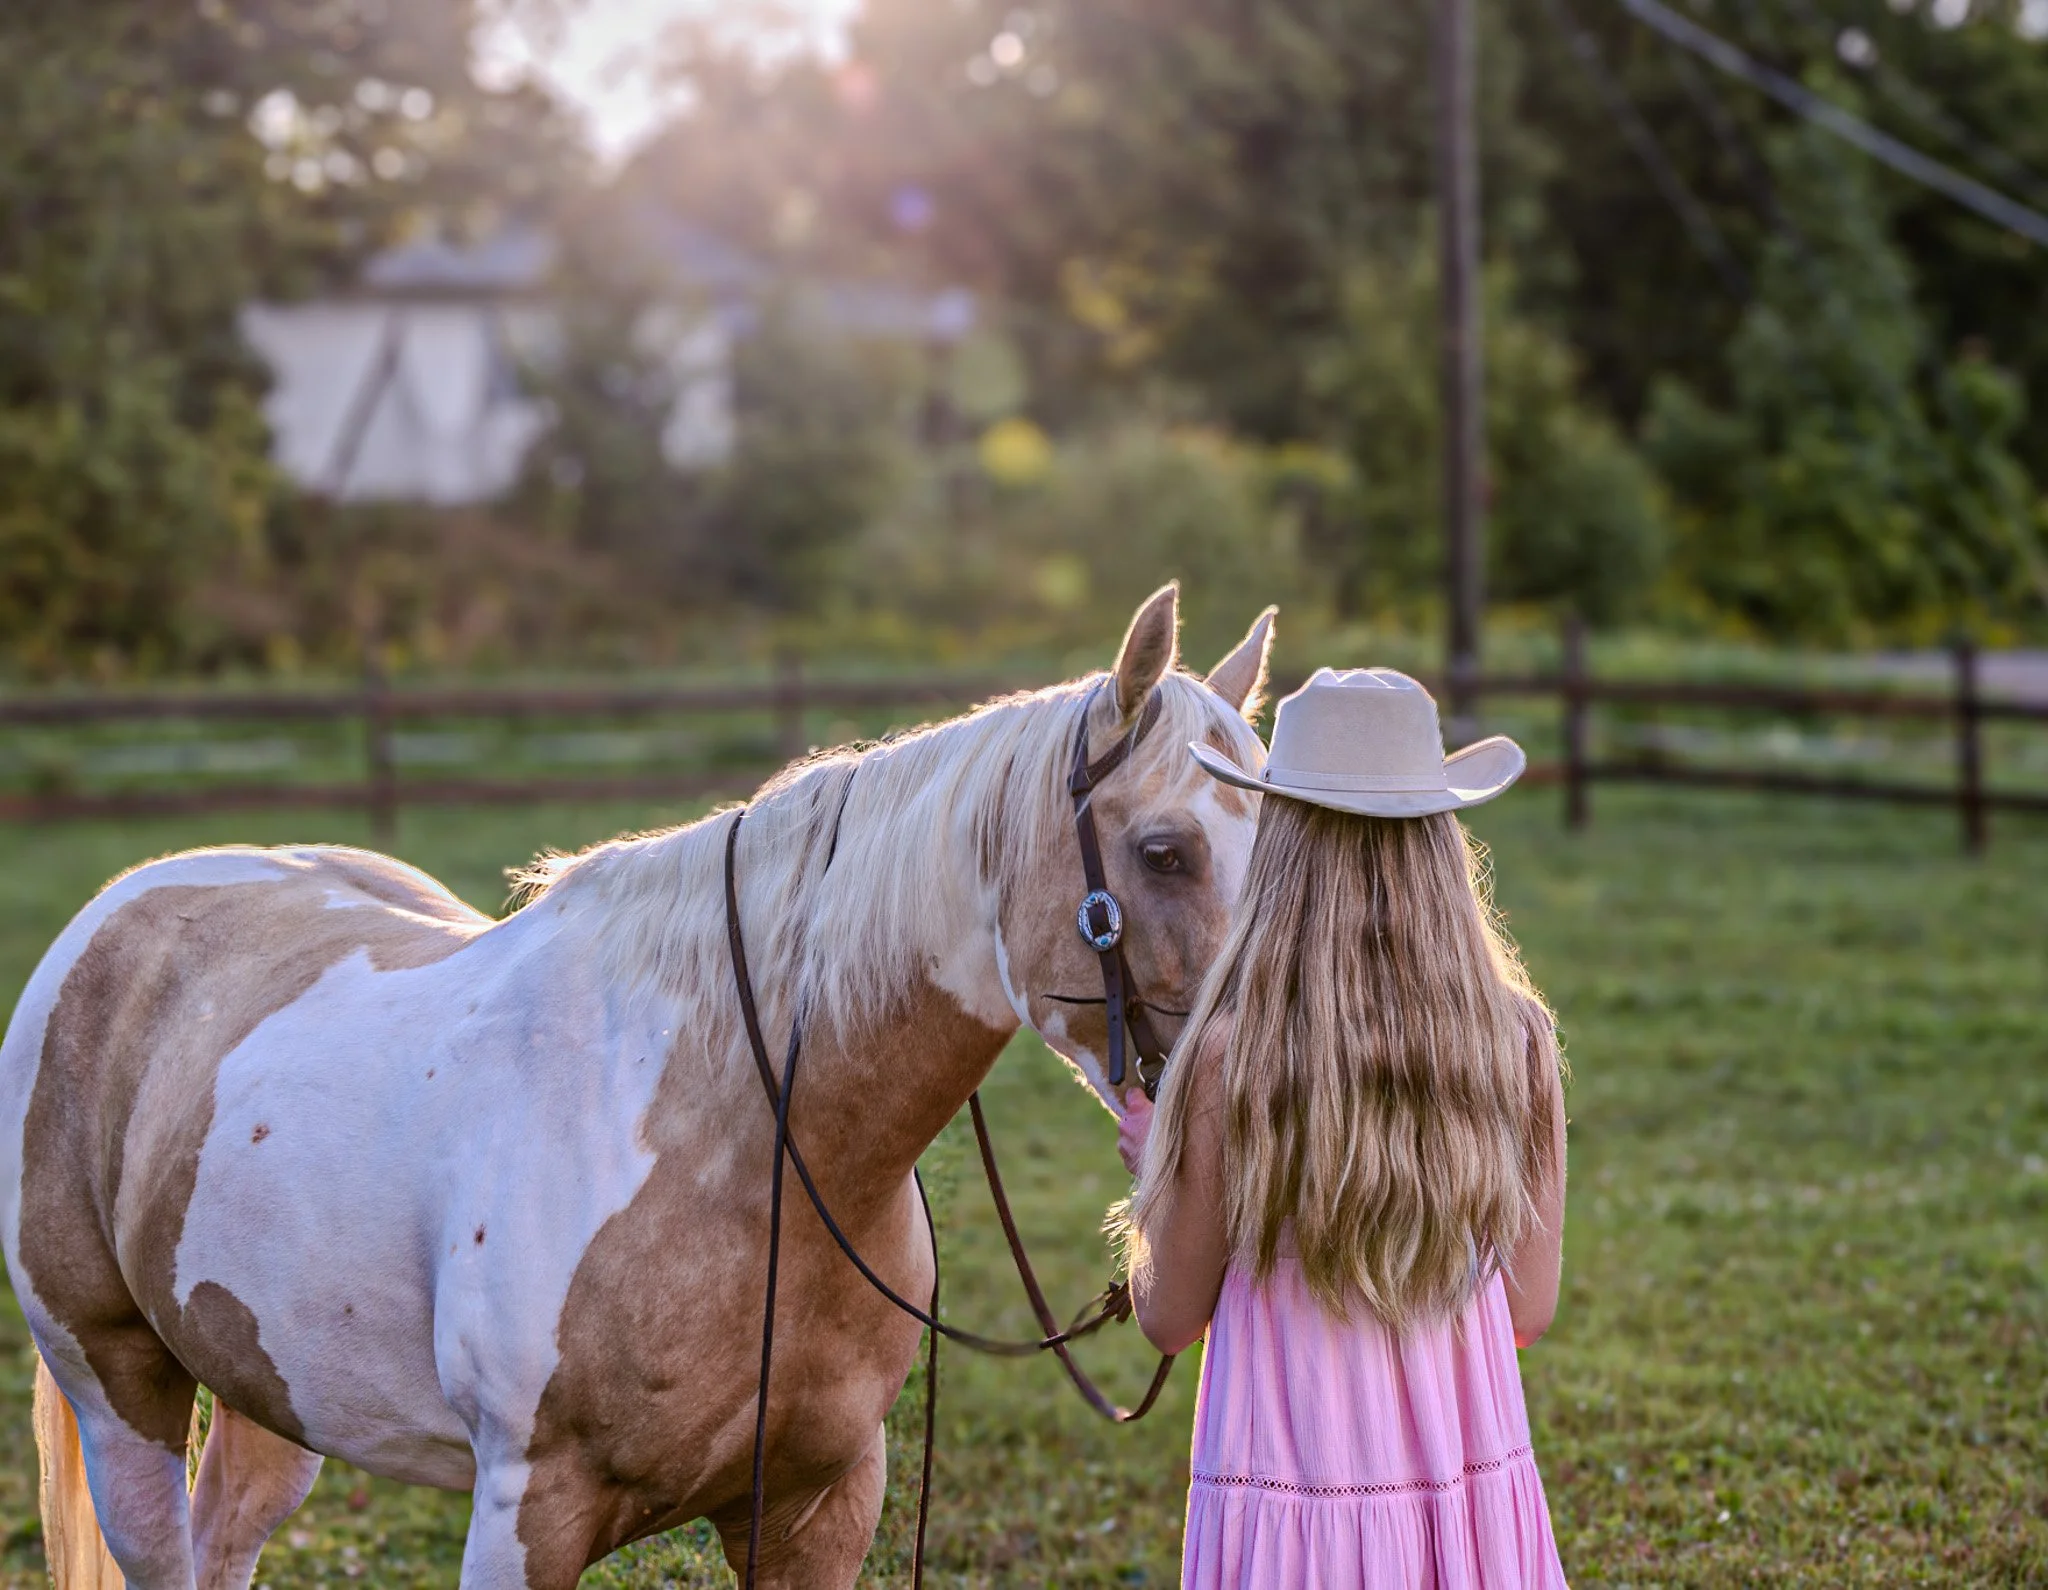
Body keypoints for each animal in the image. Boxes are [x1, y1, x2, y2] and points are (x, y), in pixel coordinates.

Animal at [0, 584, 1274, 1589]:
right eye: (1164, 851)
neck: (739, 1148)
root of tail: (120, 909)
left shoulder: (813, 1509)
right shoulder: (526, 1519)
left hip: (268, 1388)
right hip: (118, 1383)